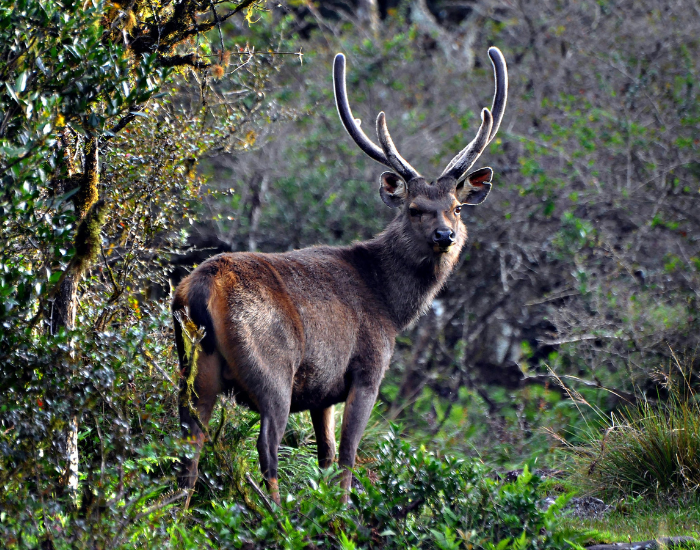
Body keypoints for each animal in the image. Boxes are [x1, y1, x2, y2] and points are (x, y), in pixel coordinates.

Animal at [172, 47, 507, 503]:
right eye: (414, 208)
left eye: (456, 207)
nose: (445, 236)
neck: (391, 306)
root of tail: (201, 289)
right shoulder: (367, 369)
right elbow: (348, 453)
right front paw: (343, 509)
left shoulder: (322, 390)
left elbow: (326, 454)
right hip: (273, 369)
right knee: (267, 446)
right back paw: (275, 512)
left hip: (195, 368)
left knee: (189, 443)